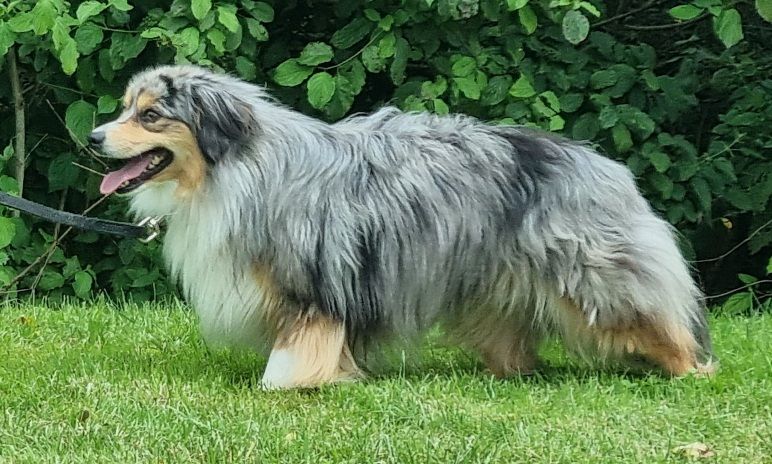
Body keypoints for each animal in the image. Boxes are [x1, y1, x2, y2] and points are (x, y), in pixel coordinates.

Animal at [88, 65, 716, 389]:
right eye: (124, 108)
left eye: (150, 115)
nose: (92, 138)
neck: (235, 168)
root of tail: (605, 167)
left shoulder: (314, 289)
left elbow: (289, 363)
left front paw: (294, 383)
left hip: (599, 282)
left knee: (664, 326)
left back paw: (694, 372)